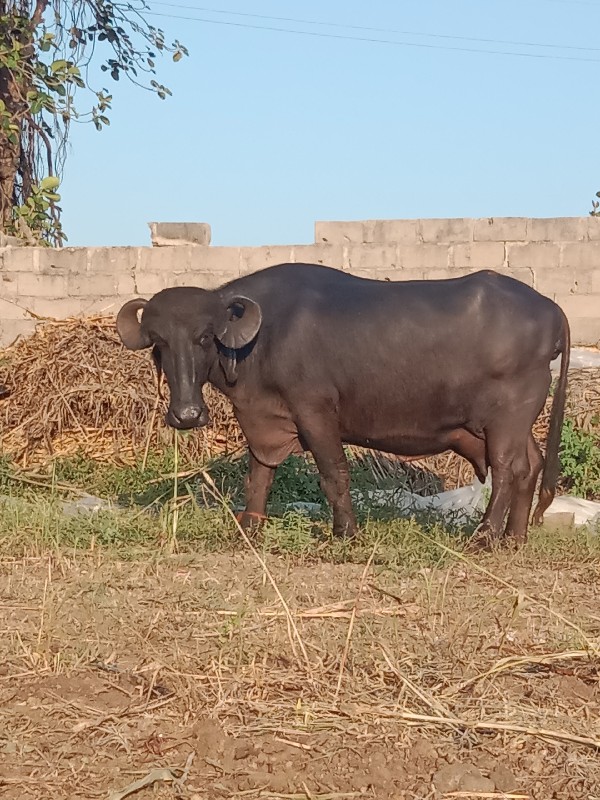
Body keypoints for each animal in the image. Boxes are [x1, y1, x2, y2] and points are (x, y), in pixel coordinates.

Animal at [115, 262, 568, 544]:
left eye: (205, 336)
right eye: (158, 343)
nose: (186, 415)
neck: (262, 338)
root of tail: (550, 309)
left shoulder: (314, 412)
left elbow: (334, 473)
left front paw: (346, 531)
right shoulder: (264, 420)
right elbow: (259, 476)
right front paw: (250, 528)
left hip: (508, 415)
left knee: (508, 469)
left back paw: (485, 537)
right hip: (516, 421)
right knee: (531, 464)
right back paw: (515, 537)